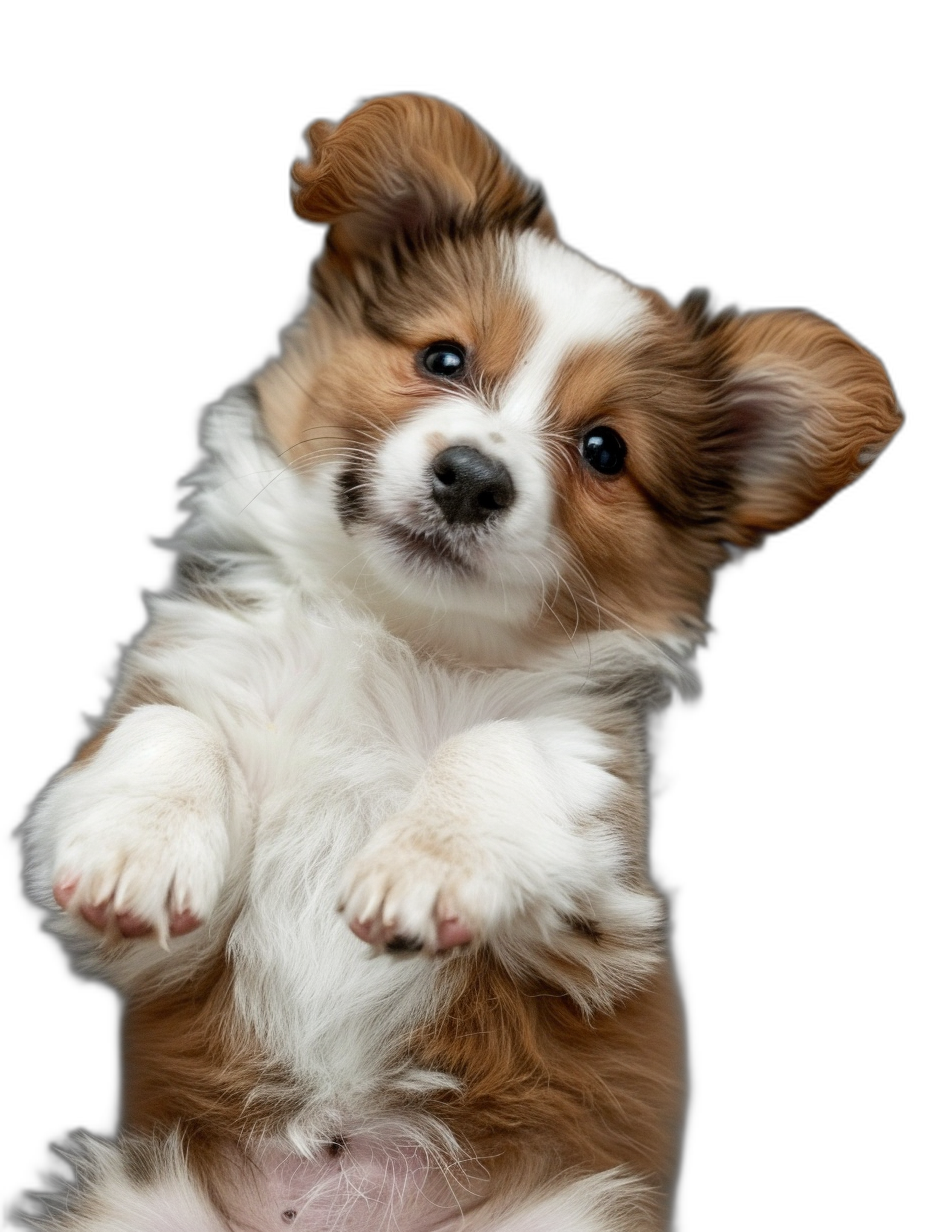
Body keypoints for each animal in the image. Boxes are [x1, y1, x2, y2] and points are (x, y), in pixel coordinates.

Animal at [18, 91, 902, 1227]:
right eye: (442, 359)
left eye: (605, 450)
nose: (474, 477)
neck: (404, 635)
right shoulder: (152, 941)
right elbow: (168, 728)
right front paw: (138, 846)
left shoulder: (601, 887)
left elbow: (497, 747)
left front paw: (423, 865)